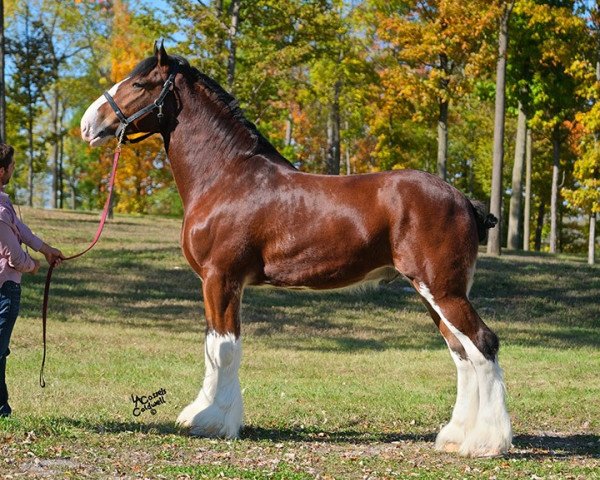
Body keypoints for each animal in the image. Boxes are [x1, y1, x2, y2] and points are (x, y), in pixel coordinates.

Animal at [79, 42, 510, 458]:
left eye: (139, 84)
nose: (87, 124)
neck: (227, 177)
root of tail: (464, 201)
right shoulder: (215, 283)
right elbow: (211, 346)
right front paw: (203, 414)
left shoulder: (222, 278)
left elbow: (224, 349)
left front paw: (213, 422)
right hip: (431, 293)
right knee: (461, 350)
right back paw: (455, 437)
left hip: (443, 290)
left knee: (483, 343)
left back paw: (486, 443)